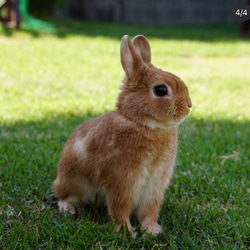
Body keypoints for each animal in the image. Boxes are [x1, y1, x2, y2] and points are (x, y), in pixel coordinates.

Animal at [53, 33, 192, 236]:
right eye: (161, 90)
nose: (189, 105)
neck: (141, 123)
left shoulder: (155, 184)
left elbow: (149, 209)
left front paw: (152, 230)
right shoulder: (122, 181)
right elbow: (120, 207)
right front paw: (126, 231)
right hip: (69, 181)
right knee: (63, 196)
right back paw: (69, 208)